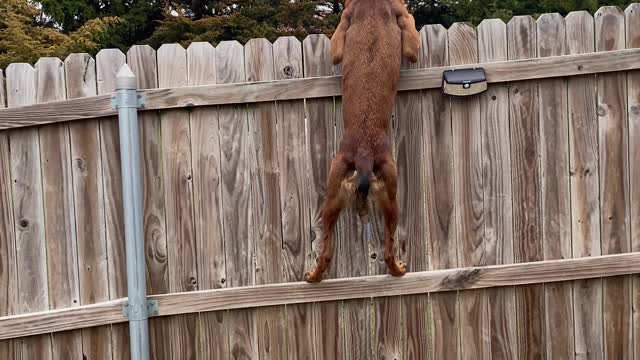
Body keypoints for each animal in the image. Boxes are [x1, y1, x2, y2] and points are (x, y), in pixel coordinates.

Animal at [304, 0, 420, 282]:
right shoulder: (408, 34)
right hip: (391, 195)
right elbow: (410, 26)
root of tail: (365, 155)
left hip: (332, 195)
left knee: (325, 251)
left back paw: (314, 275)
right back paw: (398, 269)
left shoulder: (341, 32)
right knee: (388, 250)